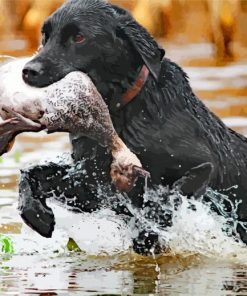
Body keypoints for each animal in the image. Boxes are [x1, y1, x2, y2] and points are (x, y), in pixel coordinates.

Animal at [18, 0, 247, 254]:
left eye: (79, 37)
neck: (120, 114)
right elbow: (31, 174)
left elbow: (168, 197)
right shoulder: (92, 183)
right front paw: (35, 213)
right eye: (45, 36)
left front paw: (148, 230)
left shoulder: (205, 166)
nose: (28, 70)